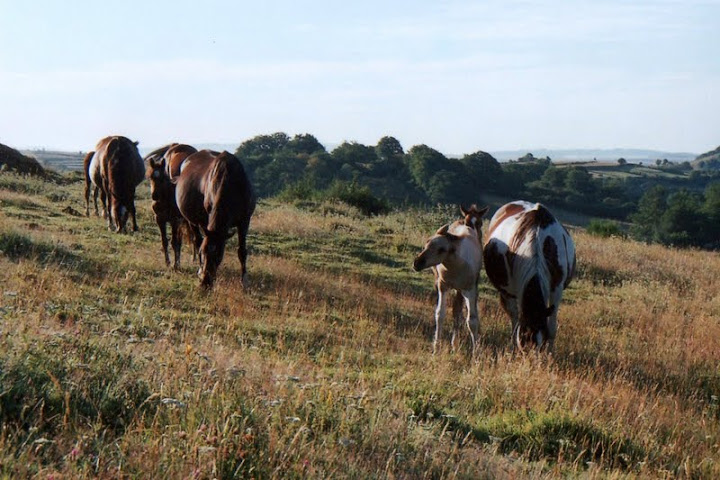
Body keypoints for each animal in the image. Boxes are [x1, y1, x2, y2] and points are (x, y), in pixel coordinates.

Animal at [146, 142, 198, 270]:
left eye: (162, 178)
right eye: (150, 177)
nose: (154, 196)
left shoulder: (174, 220)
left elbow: (174, 242)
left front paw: (176, 265)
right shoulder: (160, 220)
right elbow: (165, 241)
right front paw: (168, 262)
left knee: (194, 238)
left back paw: (195, 259)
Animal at [174, 148, 256, 286]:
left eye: (219, 255)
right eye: (202, 253)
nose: (205, 283)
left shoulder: (244, 221)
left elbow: (242, 251)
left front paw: (244, 280)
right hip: (192, 221)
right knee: (197, 240)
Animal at [414, 204, 492, 354]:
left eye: (441, 249)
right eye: (426, 243)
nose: (417, 263)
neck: (455, 265)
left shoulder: (469, 289)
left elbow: (471, 320)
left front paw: (476, 352)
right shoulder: (443, 286)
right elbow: (440, 314)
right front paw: (436, 348)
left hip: (463, 290)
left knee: (460, 312)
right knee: (456, 312)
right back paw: (454, 344)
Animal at [480, 201, 576, 350]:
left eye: (543, 337)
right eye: (525, 336)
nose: (532, 356)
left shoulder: (557, 288)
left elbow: (552, 326)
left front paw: (550, 352)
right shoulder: (513, 289)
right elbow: (515, 318)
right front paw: (514, 345)